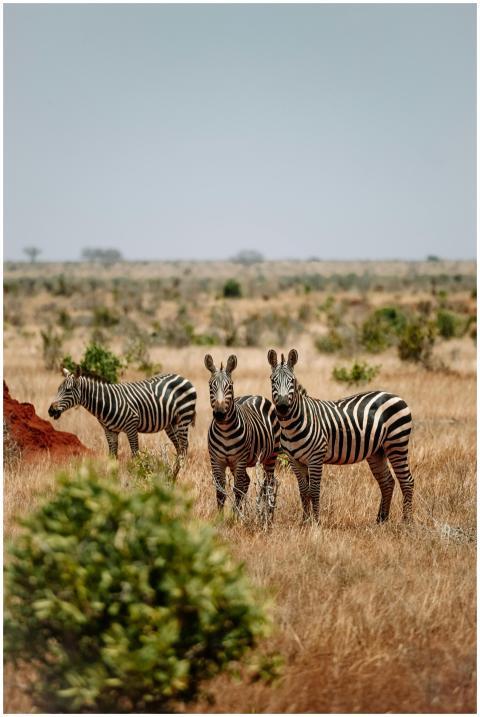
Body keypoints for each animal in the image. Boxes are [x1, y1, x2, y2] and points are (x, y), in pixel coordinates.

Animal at [48, 368, 197, 475]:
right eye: (58, 389)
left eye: (68, 390)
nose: (51, 411)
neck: (106, 403)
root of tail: (182, 377)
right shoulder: (110, 431)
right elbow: (112, 456)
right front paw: (111, 479)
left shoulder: (131, 426)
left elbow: (135, 454)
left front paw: (137, 476)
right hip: (171, 423)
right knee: (179, 446)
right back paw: (174, 471)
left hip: (184, 417)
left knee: (184, 446)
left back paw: (178, 473)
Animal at [205, 353, 281, 525]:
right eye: (211, 385)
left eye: (230, 386)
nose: (219, 414)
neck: (225, 431)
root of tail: (255, 395)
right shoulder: (216, 460)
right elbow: (220, 490)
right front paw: (221, 518)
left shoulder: (240, 460)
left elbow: (237, 489)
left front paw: (235, 518)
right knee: (247, 481)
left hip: (271, 457)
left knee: (269, 483)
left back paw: (268, 516)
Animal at [267, 348, 414, 525]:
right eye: (272, 380)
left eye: (292, 381)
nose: (283, 408)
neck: (292, 425)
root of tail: (396, 396)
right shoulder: (294, 460)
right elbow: (303, 491)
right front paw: (305, 521)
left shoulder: (316, 456)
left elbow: (314, 490)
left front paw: (316, 522)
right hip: (377, 451)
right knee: (387, 481)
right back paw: (381, 520)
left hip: (397, 443)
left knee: (407, 481)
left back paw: (406, 521)